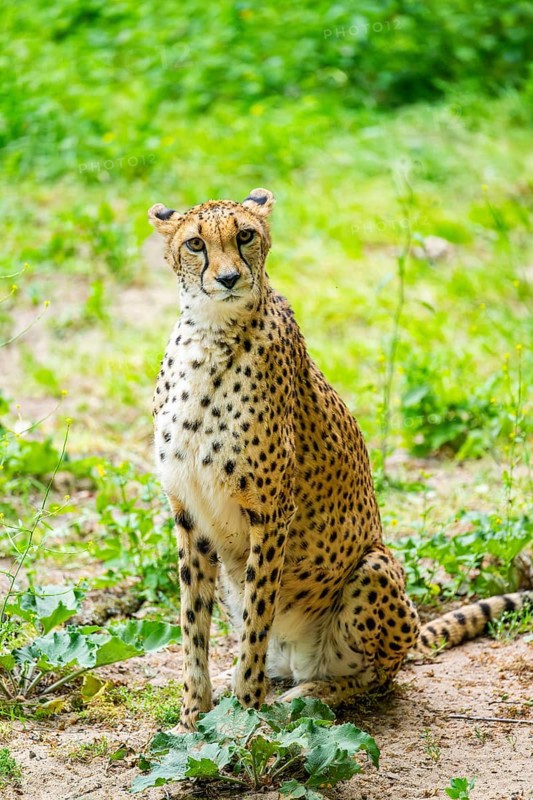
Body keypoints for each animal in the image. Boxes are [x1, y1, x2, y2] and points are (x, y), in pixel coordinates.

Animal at [148, 187, 532, 729]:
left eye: (245, 235)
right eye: (195, 244)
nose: (227, 278)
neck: (209, 335)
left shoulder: (272, 512)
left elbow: (255, 619)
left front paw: (244, 718)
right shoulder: (189, 514)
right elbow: (192, 625)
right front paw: (192, 717)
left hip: (374, 568)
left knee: (370, 678)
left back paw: (304, 696)